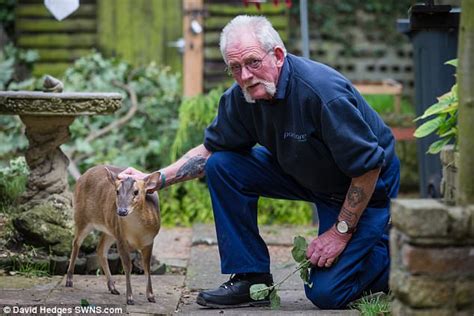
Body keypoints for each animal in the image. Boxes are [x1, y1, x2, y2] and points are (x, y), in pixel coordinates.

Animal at [65, 164, 162, 304]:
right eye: (117, 191)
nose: (121, 211)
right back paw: (69, 280)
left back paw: (113, 287)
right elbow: (127, 266)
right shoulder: (121, 238)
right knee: (76, 243)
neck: (138, 234)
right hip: (81, 216)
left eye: (136, 192)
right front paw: (130, 298)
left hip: (110, 229)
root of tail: (82, 176)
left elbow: (147, 267)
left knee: (100, 249)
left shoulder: (149, 241)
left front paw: (151, 296)